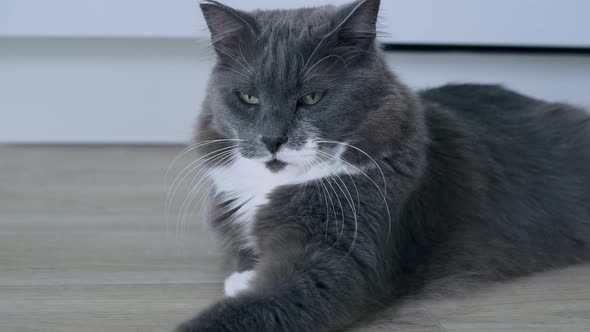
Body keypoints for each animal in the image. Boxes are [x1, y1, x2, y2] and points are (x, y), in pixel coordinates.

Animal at [173, 0, 590, 332]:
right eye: (249, 98)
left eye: (311, 98)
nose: (272, 140)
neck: (270, 187)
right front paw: (243, 275)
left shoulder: (337, 255)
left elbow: (264, 303)